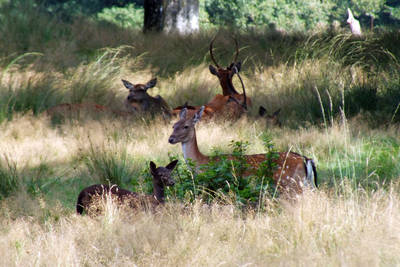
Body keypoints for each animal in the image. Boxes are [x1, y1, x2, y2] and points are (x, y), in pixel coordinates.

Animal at [167, 107, 318, 197]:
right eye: (173, 125)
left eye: (186, 126)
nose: (170, 138)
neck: (202, 163)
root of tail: (306, 159)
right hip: (306, 183)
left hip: (290, 183)